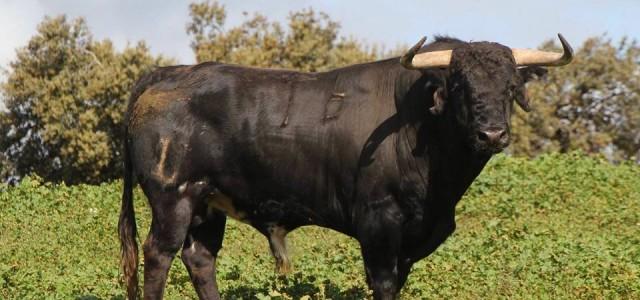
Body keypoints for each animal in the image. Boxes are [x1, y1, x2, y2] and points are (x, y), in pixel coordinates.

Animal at [117, 35, 572, 298]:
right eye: (460, 85)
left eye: (511, 87)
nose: (492, 134)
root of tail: (168, 74)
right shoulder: (378, 224)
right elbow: (382, 284)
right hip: (173, 197)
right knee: (159, 255)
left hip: (208, 203)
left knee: (200, 258)